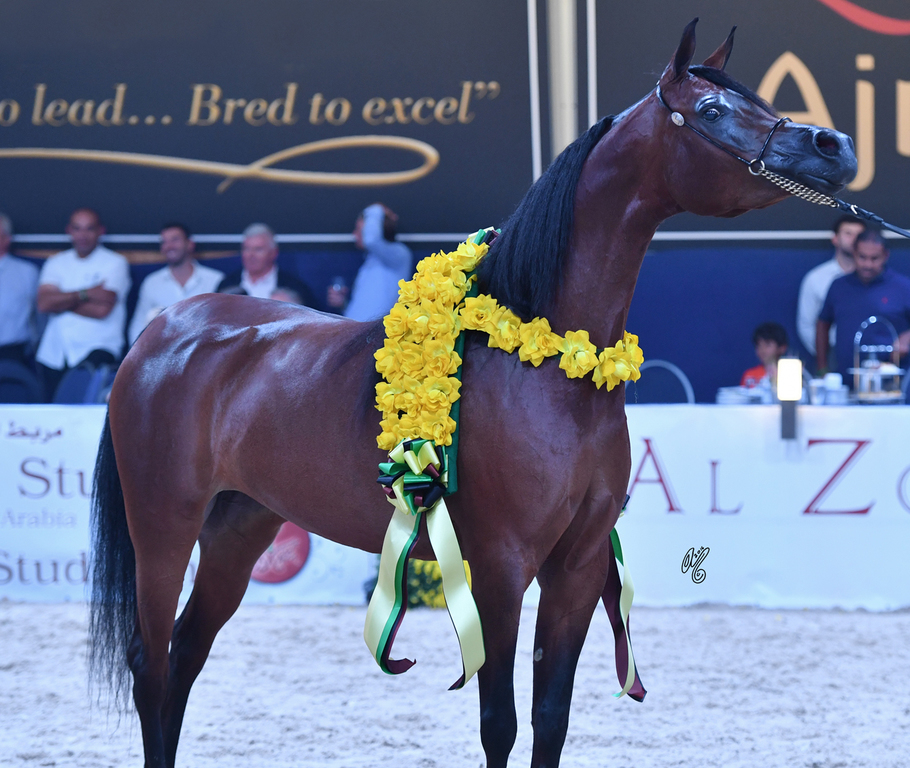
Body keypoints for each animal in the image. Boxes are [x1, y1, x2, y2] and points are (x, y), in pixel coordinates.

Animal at [89, 20, 857, 768]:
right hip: (162, 525)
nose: (834, 145)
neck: (548, 370)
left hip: (238, 527)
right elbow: (501, 723)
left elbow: (550, 719)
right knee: (151, 664)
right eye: (713, 110)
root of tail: (163, 330)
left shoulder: (576, 567)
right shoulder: (498, 567)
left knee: (185, 657)